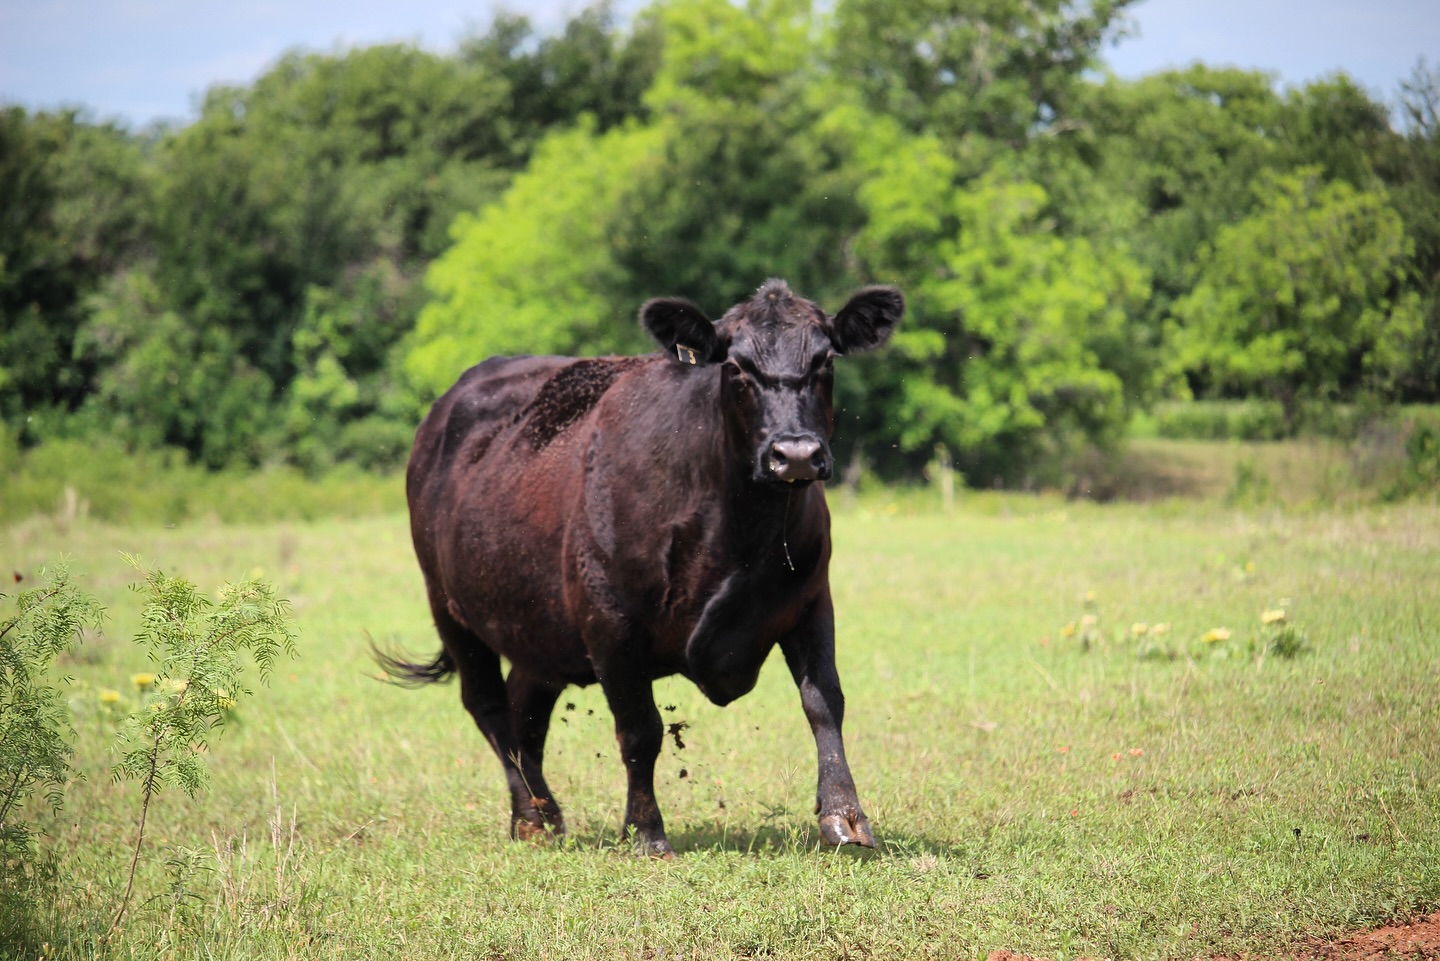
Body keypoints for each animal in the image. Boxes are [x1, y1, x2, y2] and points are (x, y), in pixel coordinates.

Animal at [381, 278, 904, 857]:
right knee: (490, 707)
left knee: (525, 709)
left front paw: (845, 817)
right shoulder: (610, 621)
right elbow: (640, 730)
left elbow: (823, 701)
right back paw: (533, 816)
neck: (741, 533)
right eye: (736, 367)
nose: (795, 454)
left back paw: (542, 813)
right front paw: (646, 832)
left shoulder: (809, 599)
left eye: (825, 361)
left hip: (537, 625)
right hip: (450, 608)